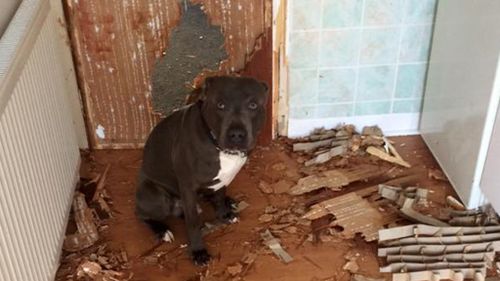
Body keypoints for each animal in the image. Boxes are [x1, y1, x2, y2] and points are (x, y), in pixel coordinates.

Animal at [136, 75, 270, 264]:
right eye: (220, 105)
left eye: (253, 105)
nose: (236, 134)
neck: (219, 147)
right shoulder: (188, 188)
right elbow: (192, 222)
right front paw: (198, 251)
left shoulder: (224, 179)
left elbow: (219, 197)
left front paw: (224, 215)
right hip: (156, 197)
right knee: (144, 215)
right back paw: (162, 230)